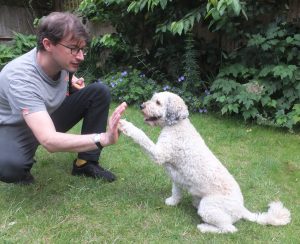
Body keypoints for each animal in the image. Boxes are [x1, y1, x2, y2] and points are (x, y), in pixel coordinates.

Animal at [119, 92, 290, 234]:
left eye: (158, 102)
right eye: (152, 99)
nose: (142, 106)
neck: (177, 126)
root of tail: (241, 209)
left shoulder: (159, 154)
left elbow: (141, 136)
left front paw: (126, 125)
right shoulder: (176, 176)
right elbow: (176, 191)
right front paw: (173, 202)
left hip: (209, 207)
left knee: (229, 229)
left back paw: (204, 227)